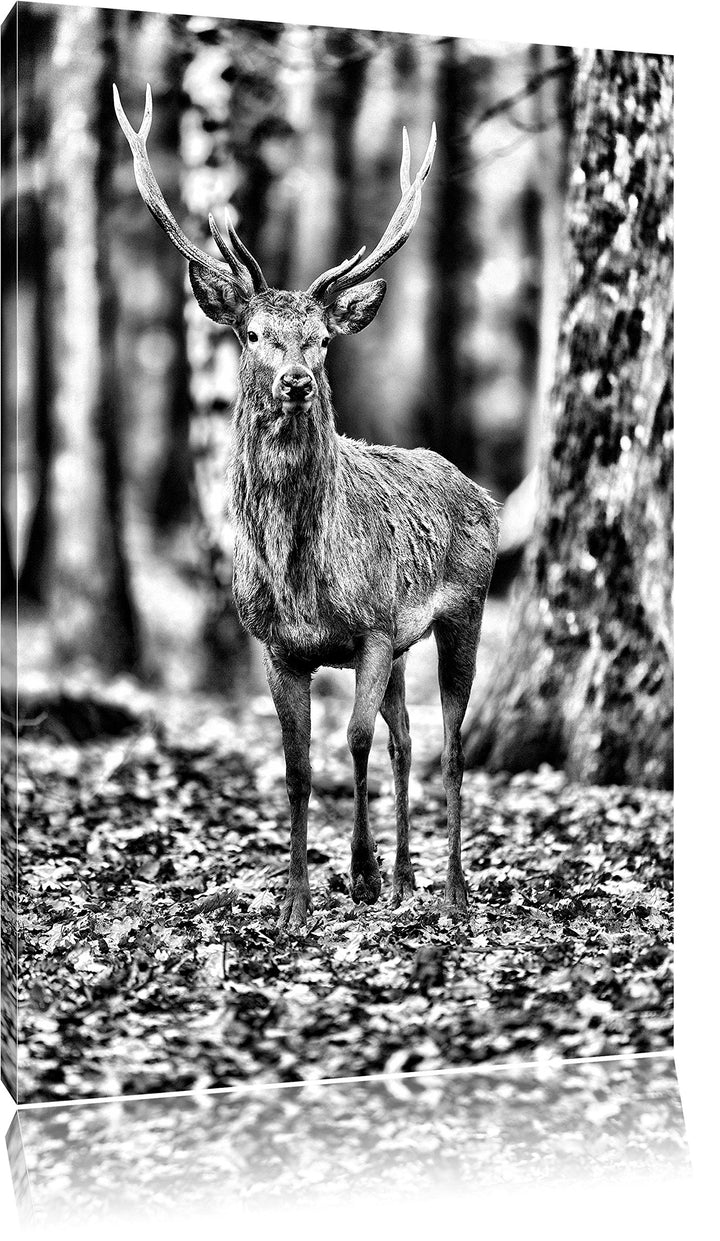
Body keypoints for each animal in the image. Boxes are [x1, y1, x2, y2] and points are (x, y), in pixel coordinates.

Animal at [115, 85, 499, 932]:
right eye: (255, 332)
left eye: (321, 339)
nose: (294, 381)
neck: (301, 576)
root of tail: (480, 490)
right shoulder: (276, 646)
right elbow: (295, 765)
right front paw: (296, 901)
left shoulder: (375, 627)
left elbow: (350, 742)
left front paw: (356, 875)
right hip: (409, 642)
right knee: (410, 738)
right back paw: (408, 878)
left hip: (464, 607)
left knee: (452, 742)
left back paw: (451, 891)